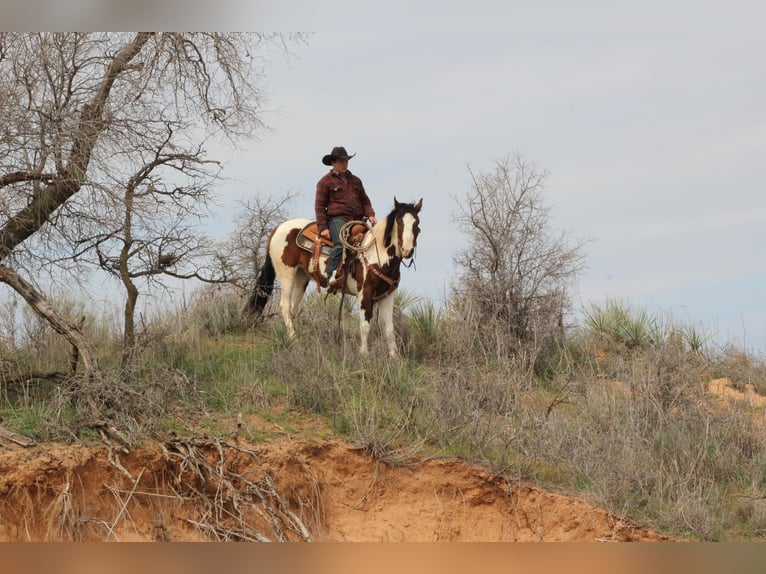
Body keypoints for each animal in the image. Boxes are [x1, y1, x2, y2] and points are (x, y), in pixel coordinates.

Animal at [248, 200, 424, 358]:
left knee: (292, 308)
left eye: (417, 224)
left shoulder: (388, 295)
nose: (407, 250)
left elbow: (388, 328)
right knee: (284, 307)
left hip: (301, 277)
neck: (376, 253)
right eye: (399, 223)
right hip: (287, 274)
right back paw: (294, 341)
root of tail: (277, 229)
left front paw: (394, 358)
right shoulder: (365, 293)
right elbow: (365, 325)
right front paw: (364, 355)